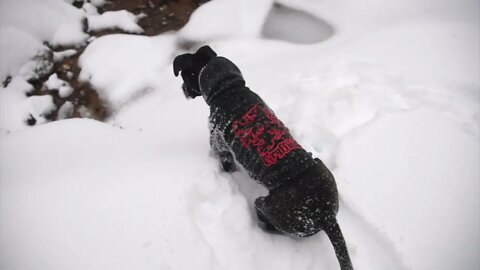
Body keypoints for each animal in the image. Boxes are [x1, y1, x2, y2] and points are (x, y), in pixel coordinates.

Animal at [173, 46, 352, 270]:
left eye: (185, 76)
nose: (183, 90)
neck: (228, 89)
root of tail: (325, 213)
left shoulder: (220, 145)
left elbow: (224, 161)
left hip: (264, 205)